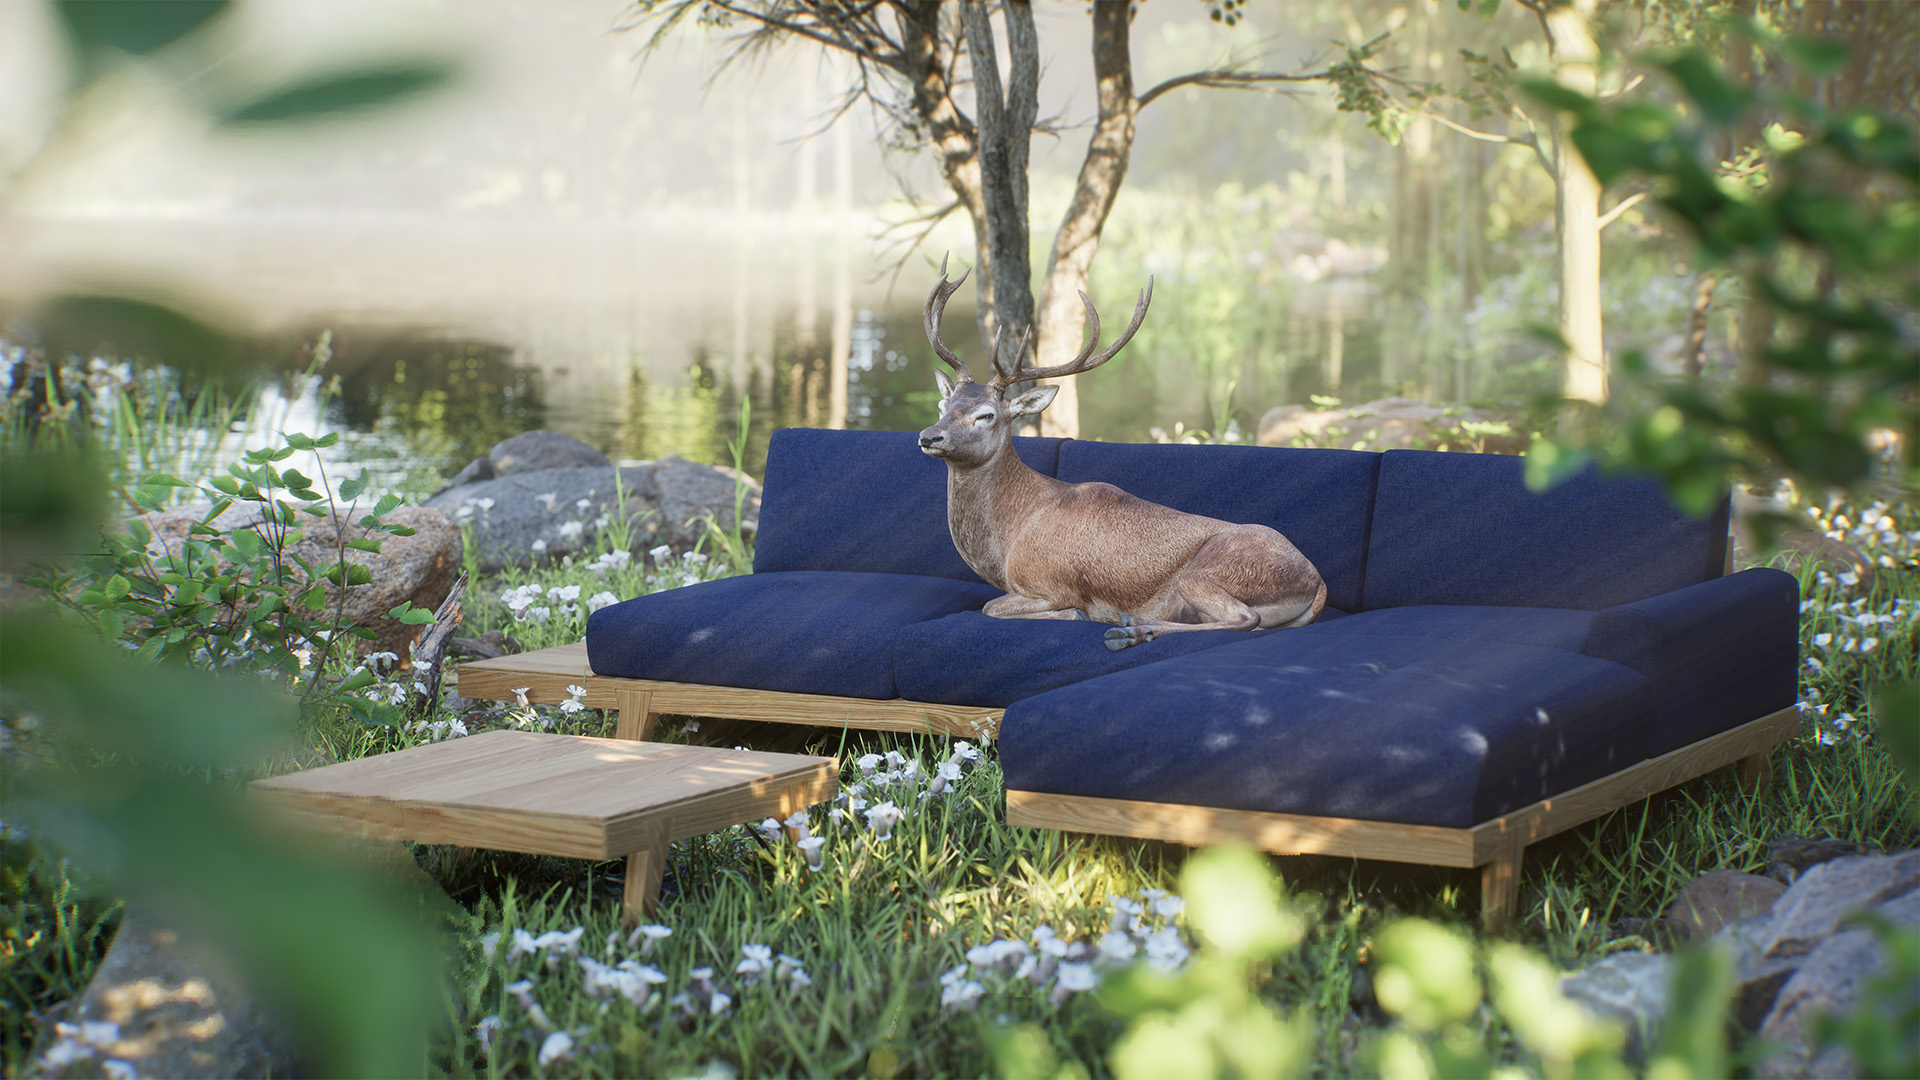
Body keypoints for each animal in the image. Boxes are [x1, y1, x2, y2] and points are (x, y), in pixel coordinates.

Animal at [917, 261, 1327, 651]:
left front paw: (1078, 615)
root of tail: (1317, 582)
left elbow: (992, 606)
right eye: (943, 404)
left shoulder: (1052, 583)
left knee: (1244, 618)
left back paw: (1132, 628)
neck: (1007, 544)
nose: (927, 436)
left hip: (1208, 573)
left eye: (986, 415)